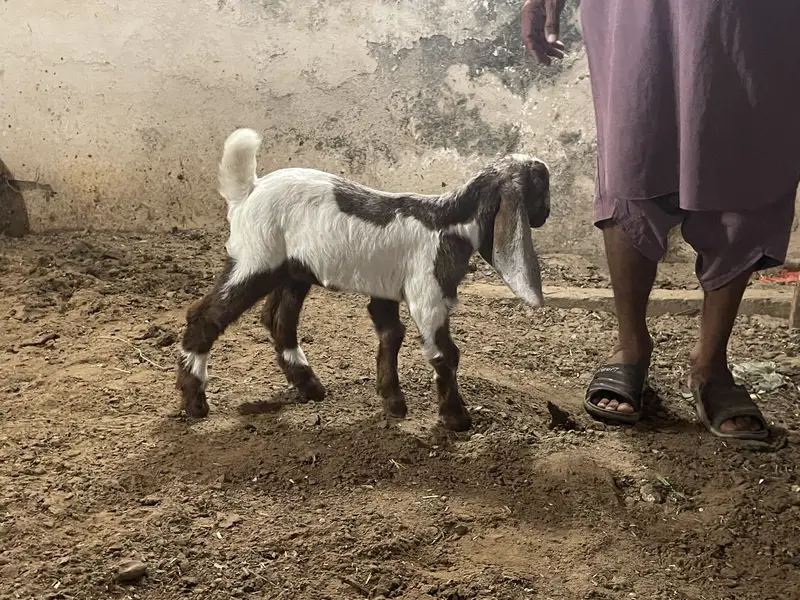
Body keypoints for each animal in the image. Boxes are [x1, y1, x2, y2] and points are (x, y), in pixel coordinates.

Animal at [176, 127, 551, 431]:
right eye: (541, 188)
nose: (546, 215)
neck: (450, 220)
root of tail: (248, 191)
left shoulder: (385, 289)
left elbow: (391, 334)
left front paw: (393, 402)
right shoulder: (428, 295)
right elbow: (445, 353)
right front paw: (455, 419)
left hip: (294, 270)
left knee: (279, 320)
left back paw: (309, 386)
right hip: (255, 259)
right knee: (205, 316)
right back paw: (194, 402)